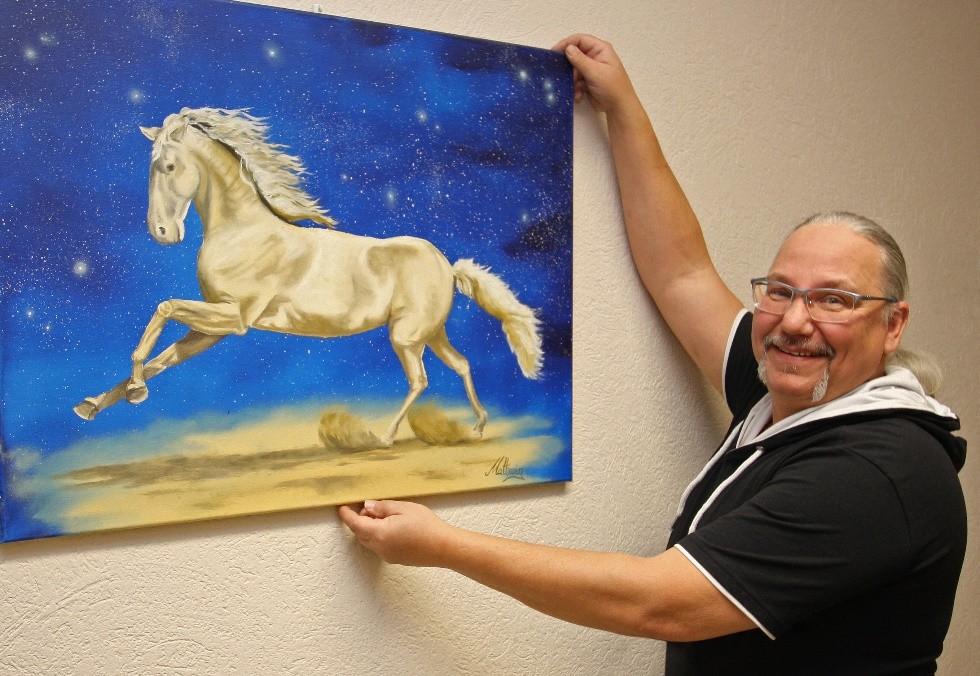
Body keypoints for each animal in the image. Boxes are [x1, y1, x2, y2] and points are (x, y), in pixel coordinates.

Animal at [74, 107, 543, 447]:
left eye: (169, 166)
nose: (161, 233)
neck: (242, 231)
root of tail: (448, 265)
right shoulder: (213, 328)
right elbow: (162, 358)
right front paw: (93, 404)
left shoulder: (236, 319)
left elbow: (163, 308)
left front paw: (135, 389)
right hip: (430, 332)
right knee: (461, 364)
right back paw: (478, 426)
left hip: (406, 336)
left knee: (420, 380)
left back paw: (384, 437)